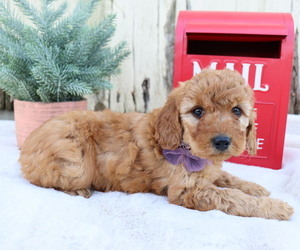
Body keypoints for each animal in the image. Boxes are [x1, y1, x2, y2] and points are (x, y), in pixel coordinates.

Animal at [18, 69, 292, 220]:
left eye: (237, 111)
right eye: (197, 111)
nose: (222, 141)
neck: (185, 147)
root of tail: (28, 143)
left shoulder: (208, 172)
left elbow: (226, 177)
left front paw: (255, 187)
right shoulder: (187, 191)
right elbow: (231, 197)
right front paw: (277, 207)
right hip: (76, 163)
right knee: (45, 180)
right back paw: (77, 190)